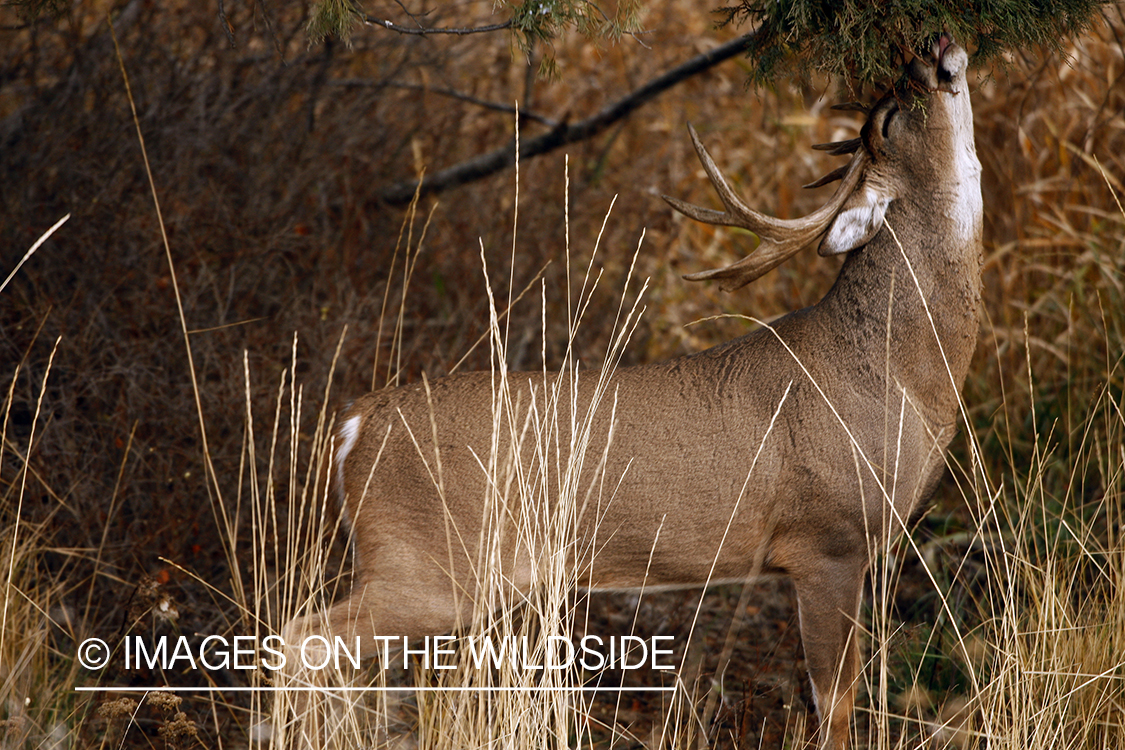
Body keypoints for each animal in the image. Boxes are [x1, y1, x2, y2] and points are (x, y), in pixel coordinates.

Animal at [283, 33, 985, 750]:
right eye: (888, 117)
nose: (930, 47)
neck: (895, 372)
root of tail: (355, 424)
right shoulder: (828, 538)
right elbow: (836, 704)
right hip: (426, 565)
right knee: (301, 639)